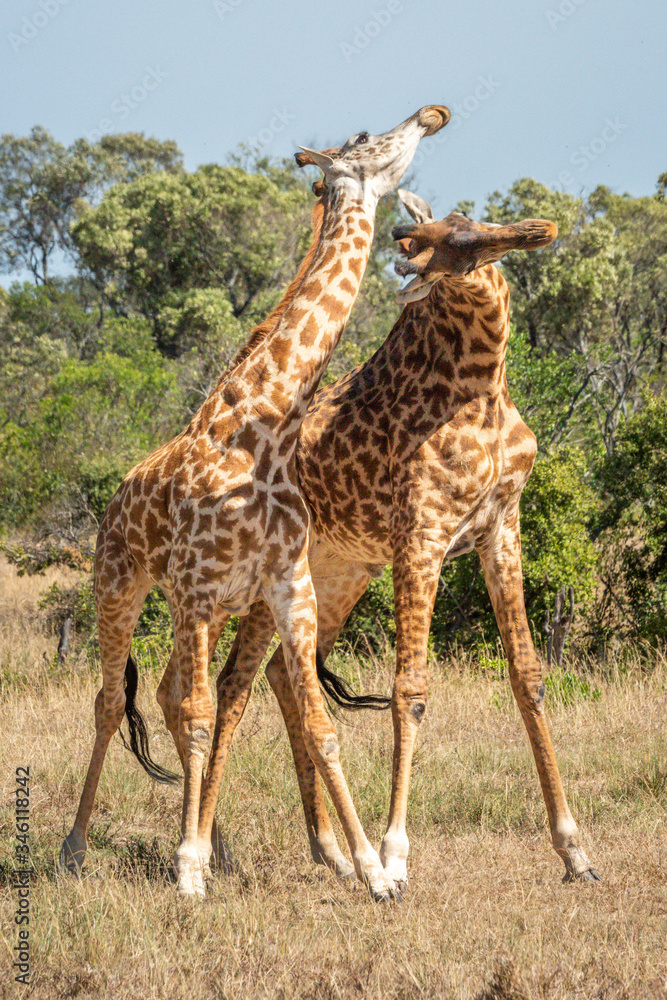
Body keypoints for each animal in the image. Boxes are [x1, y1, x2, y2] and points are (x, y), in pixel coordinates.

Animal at [57, 106, 451, 900]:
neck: (265, 429)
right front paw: (186, 870)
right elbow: (200, 716)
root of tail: (113, 500)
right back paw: (79, 846)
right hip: (120, 588)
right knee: (115, 703)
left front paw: (373, 871)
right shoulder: (198, 588)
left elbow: (317, 724)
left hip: (203, 610)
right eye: (364, 142)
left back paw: (220, 845)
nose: (430, 114)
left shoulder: (288, 587)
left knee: (170, 699)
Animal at [200, 189, 601, 892]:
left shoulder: (501, 528)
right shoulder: (422, 534)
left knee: (278, 674)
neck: (481, 392)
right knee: (231, 683)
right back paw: (218, 852)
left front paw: (574, 850)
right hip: (273, 572)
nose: (404, 247)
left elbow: (528, 674)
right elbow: (410, 689)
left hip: (338, 570)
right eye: (433, 234)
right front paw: (394, 853)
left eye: (468, 234)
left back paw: (328, 850)